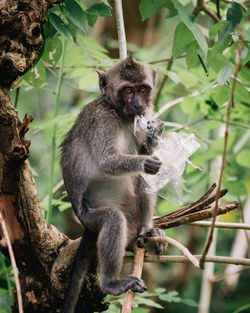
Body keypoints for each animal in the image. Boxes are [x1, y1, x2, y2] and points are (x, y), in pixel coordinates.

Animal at [60, 56, 166, 312]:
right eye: (127, 90)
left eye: (142, 89)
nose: (137, 104)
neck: (120, 114)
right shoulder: (102, 121)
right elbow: (106, 161)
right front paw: (146, 161)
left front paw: (153, 136)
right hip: (90, 217)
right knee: (113, 218)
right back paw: (111, 283)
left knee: (143, 182)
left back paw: (147, 229)